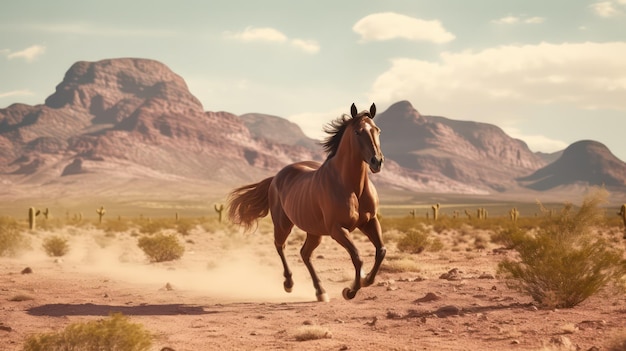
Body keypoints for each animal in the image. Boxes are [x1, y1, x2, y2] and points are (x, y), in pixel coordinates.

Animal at [228, 104, 386, 302]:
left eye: (377, 130)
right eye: (358, 132)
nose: (377, 161)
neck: (350, 186)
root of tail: (276, 177)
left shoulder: (370, 221)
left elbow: (381, 251)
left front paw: (365, 280)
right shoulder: (337, 229)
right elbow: (357, 257)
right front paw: (350, 291)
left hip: (314, 231)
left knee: (305, 253)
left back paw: (320, 291)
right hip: (283, 224)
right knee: (280, 246)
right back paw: (289, 284)